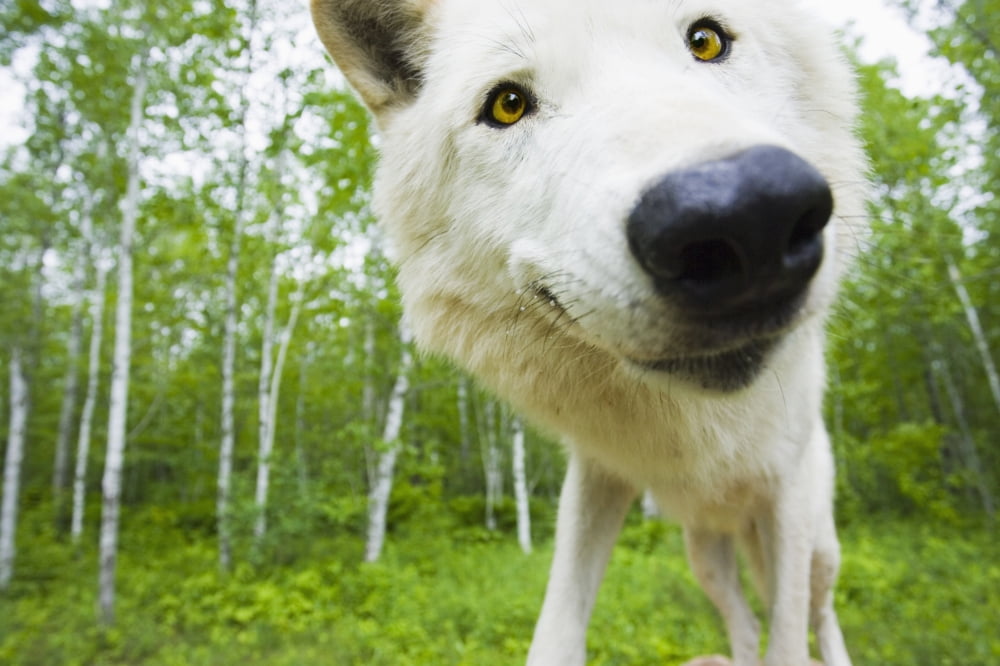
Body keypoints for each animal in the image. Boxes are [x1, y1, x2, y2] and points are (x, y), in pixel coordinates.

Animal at [311, 1, 867, 664]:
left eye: (706, 40)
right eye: (507, 104)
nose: (745, 217)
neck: (695, 436)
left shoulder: (784, 492)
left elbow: (789, 639)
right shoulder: (597, 477)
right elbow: (557, 625)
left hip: (815, 548)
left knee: (819, 616)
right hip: (704, 554)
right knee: (743, 620)